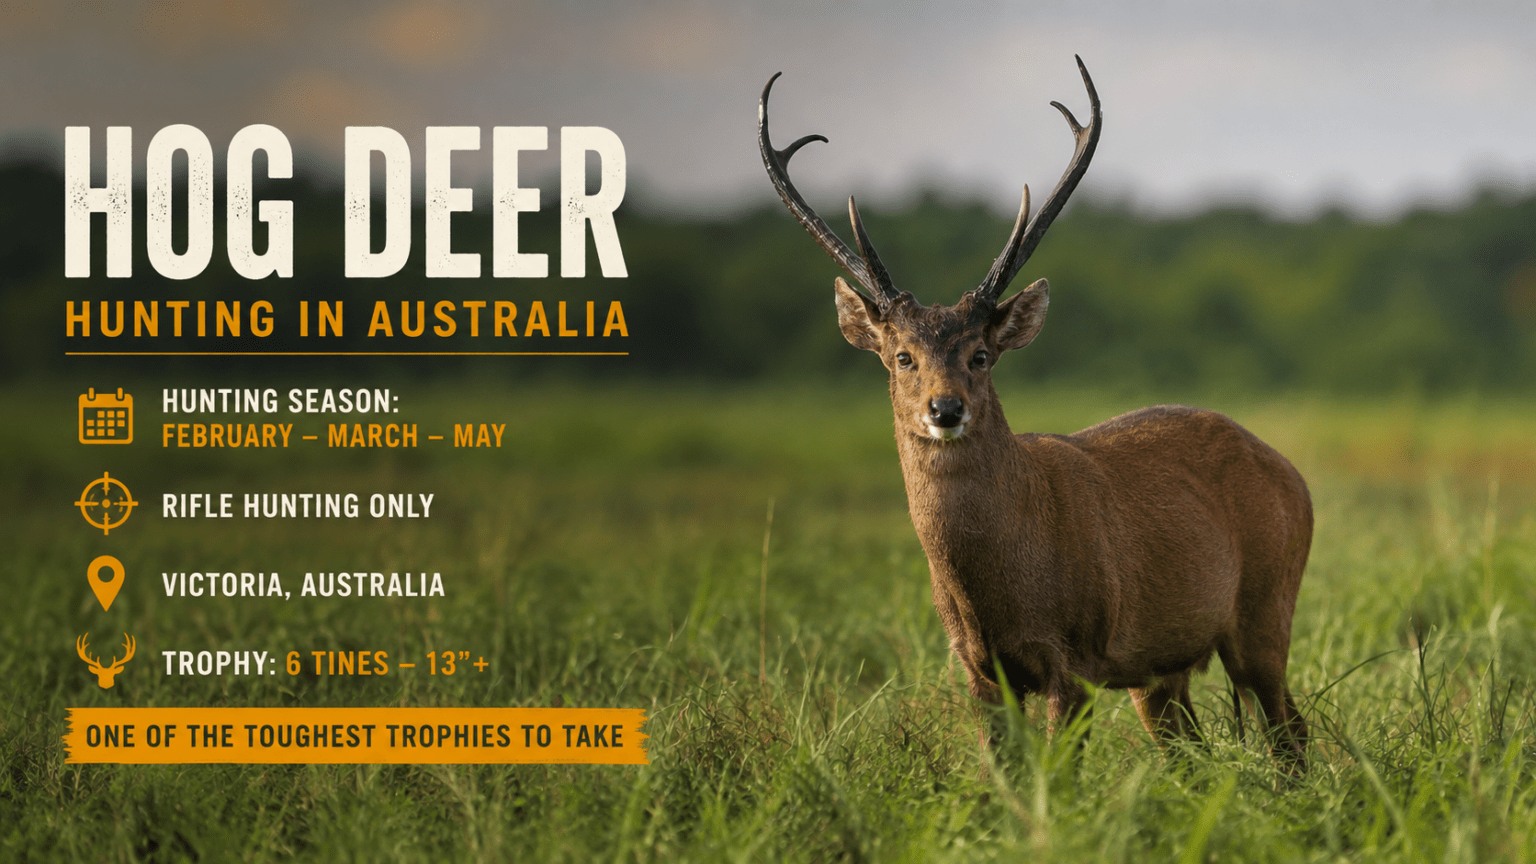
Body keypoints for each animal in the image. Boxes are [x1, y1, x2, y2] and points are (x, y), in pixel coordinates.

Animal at [758, 57, 1310, 767]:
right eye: (902, 356)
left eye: (982, 354)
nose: (945, 408)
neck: (999, 587)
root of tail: (1294, 476)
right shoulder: (976, 668)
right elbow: (1006, 774)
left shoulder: (1074, 655)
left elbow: (1057, 774)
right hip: (1161, 672)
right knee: (1194, 750)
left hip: (1266, 605)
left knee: (1290, 731)